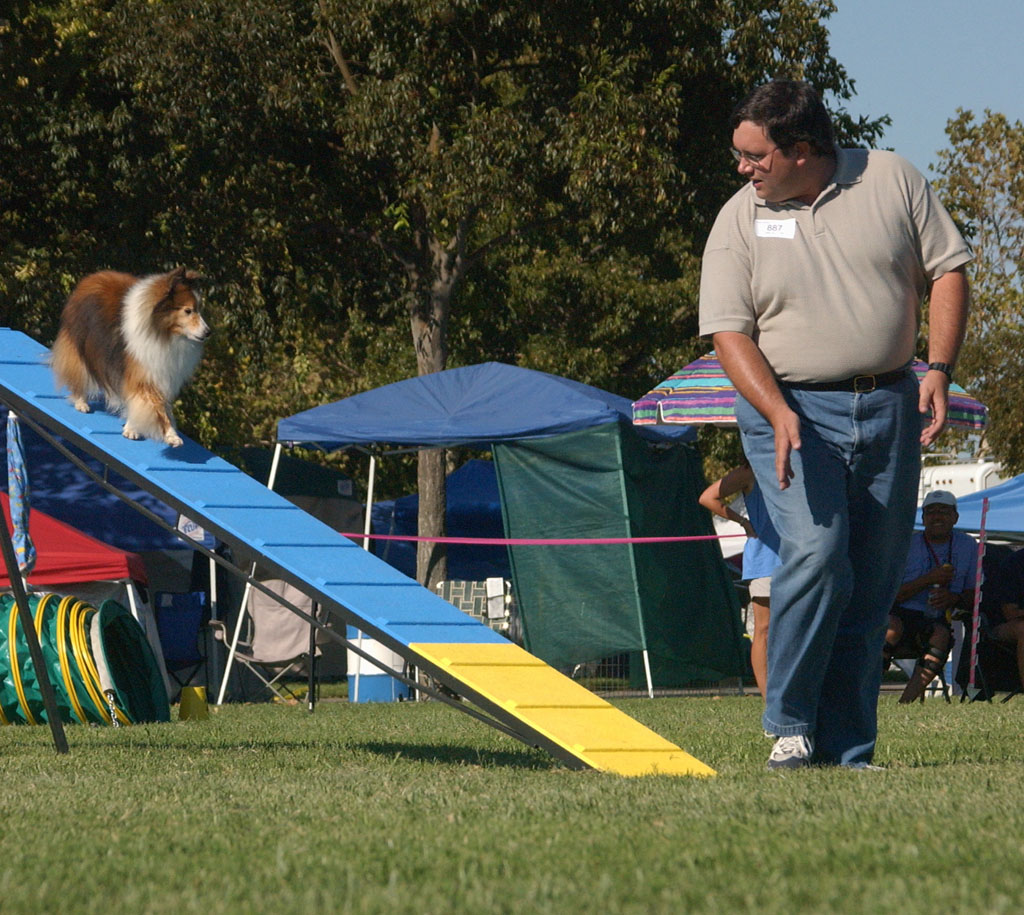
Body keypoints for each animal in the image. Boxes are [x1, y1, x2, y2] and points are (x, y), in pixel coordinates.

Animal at [50, 267, 210, 447]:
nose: (208, 332)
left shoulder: (159, 373)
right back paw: (81, 401)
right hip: (81, 346)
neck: (162, 332)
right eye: (188, 311)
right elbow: (152, 405)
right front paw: (135, 430)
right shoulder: (140, 372)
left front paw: (170, 435)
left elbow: (156, 406)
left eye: (199, 309)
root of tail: (91, 278)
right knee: (78, 371)